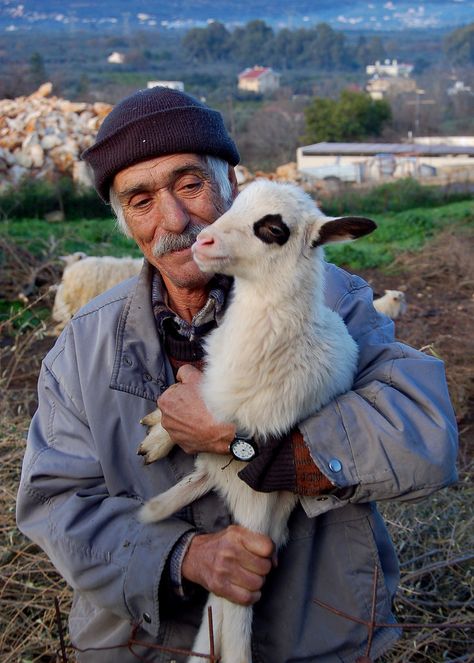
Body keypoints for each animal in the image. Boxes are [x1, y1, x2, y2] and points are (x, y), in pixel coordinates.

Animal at [138, 180, 378, 663]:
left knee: (229, 607)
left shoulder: (224, 408)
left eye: (273, 229)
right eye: (235, 202)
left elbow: (191, 405)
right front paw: (156, 430)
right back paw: (152, 508)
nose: (202, 241)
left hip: (255, 508)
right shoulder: (213, 377)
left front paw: (159, 430)